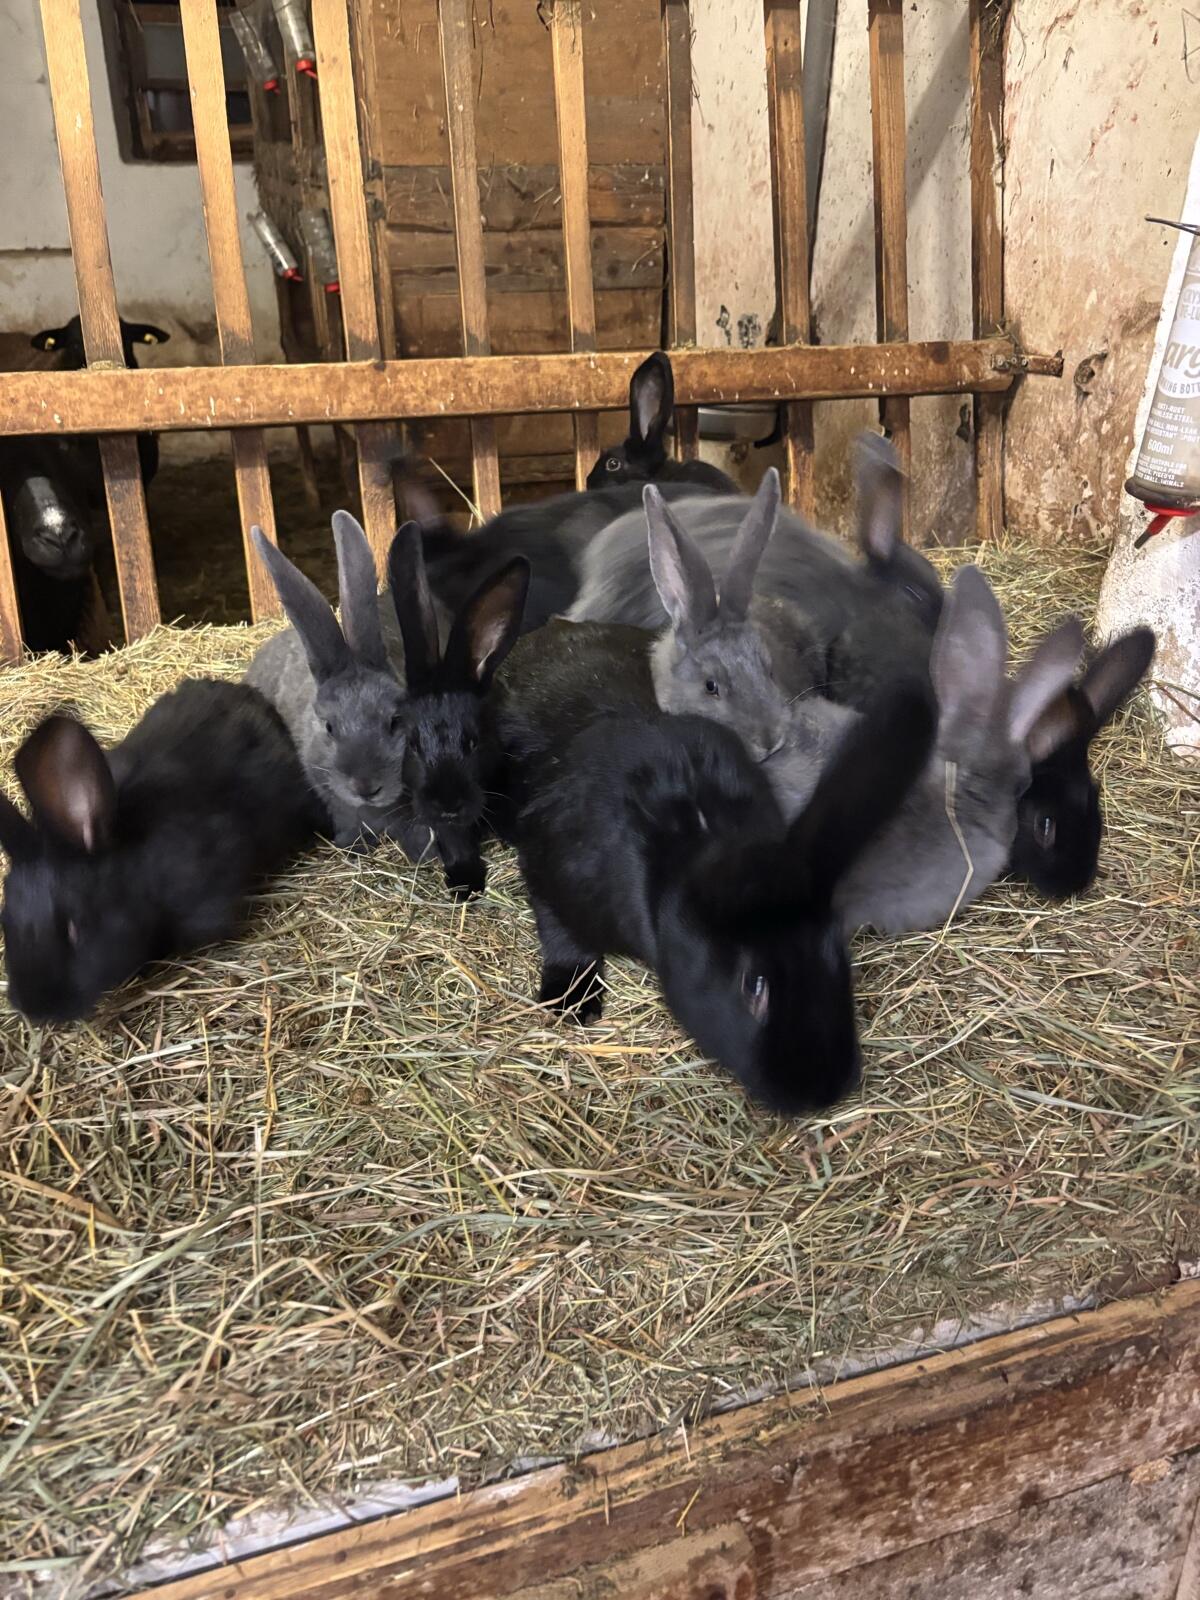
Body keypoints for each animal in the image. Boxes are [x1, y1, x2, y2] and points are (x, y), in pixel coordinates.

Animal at [512, 681, 936, 1115]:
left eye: (841, 963)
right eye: (753, 986)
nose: (820, 1092)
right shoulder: (553, 872)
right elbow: (562, 931)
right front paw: (572, 1002)